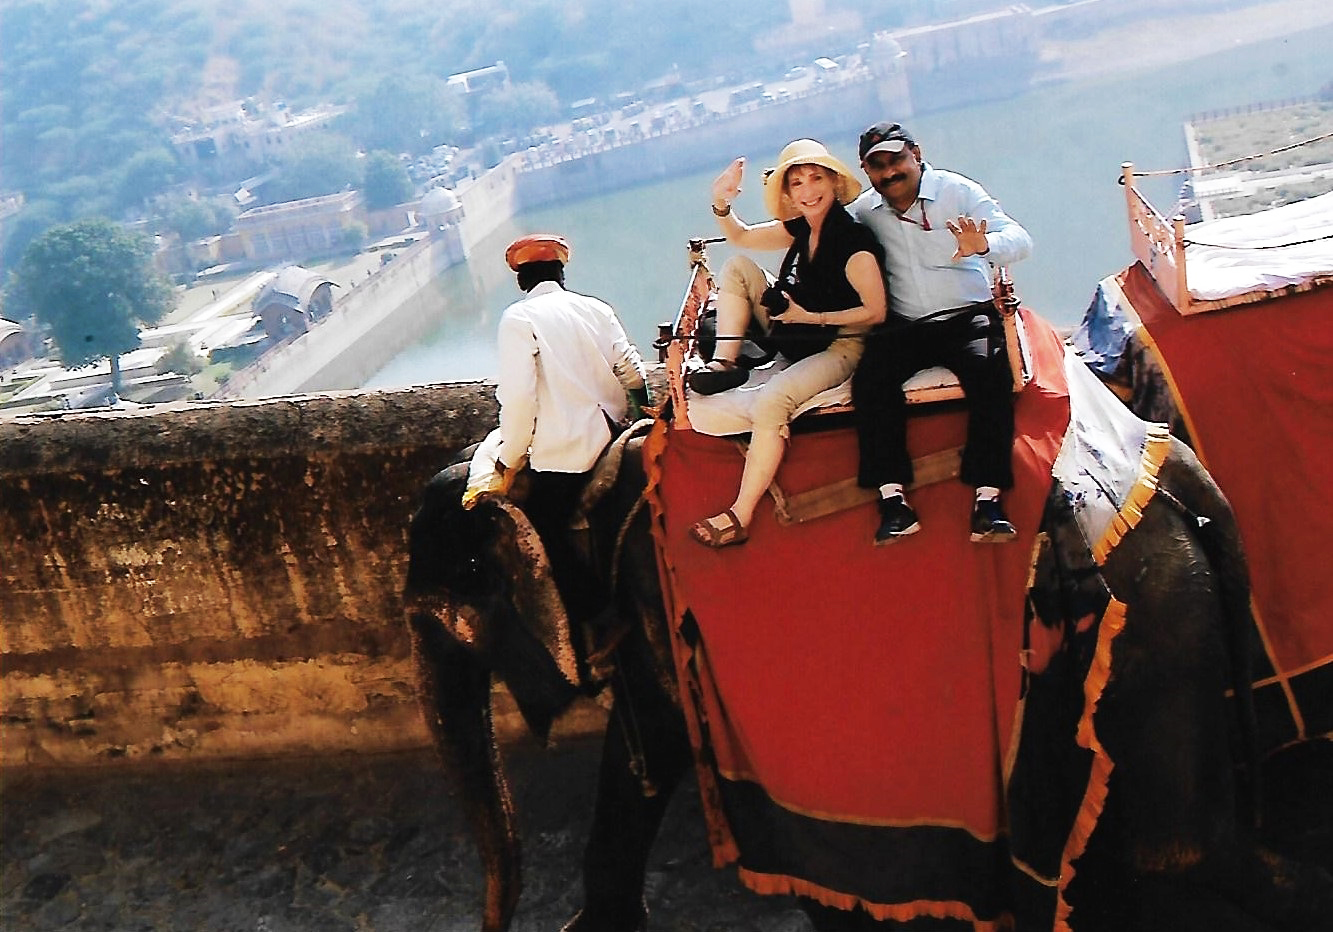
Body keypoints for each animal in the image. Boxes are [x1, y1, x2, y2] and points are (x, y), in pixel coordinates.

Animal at [402, 410, 1333, 932]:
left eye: (445, 604)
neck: (586, 474)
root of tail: (1179, 478)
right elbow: (639, 767)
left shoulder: (653, 597)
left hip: (1148, 626)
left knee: (1179, 850)